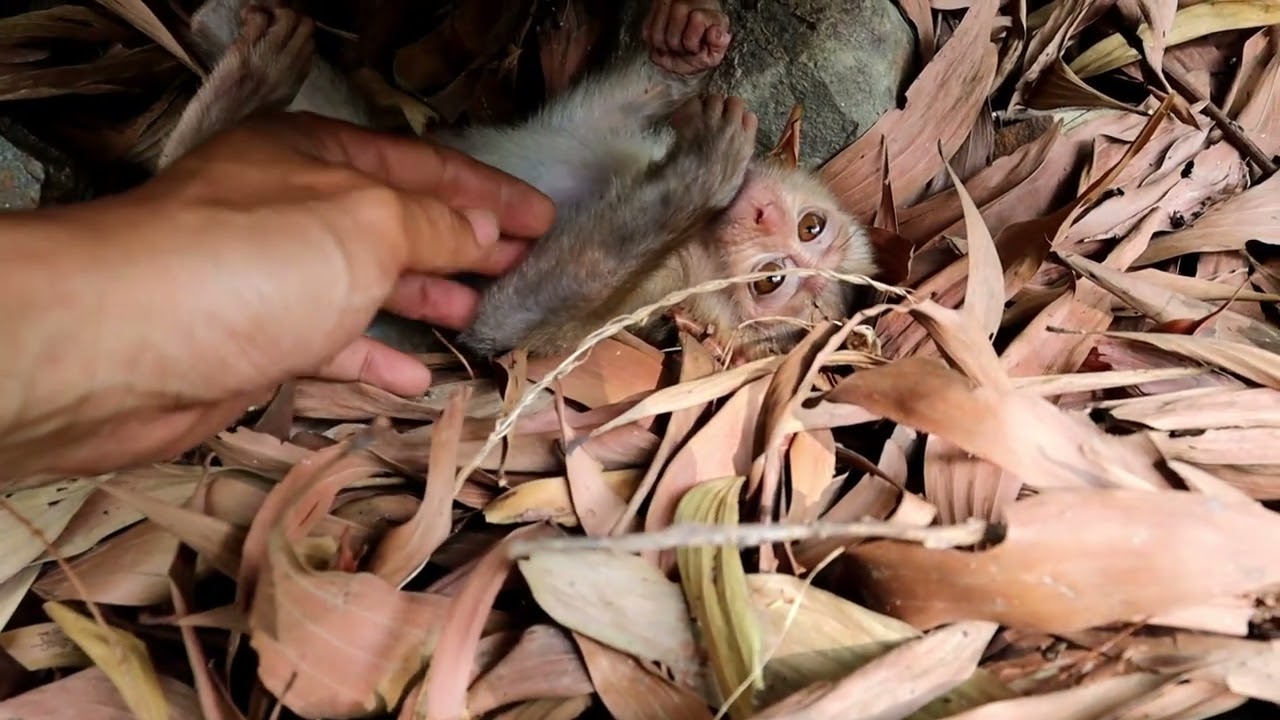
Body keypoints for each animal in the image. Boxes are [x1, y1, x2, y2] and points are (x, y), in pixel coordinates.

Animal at [158, 0, 880, 363]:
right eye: (810, 227)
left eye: (769, 281)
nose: (761, 216)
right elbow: (597, 114)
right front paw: (683, 44)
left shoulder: (656, 300)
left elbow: (494, 325)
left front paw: (694, 182)